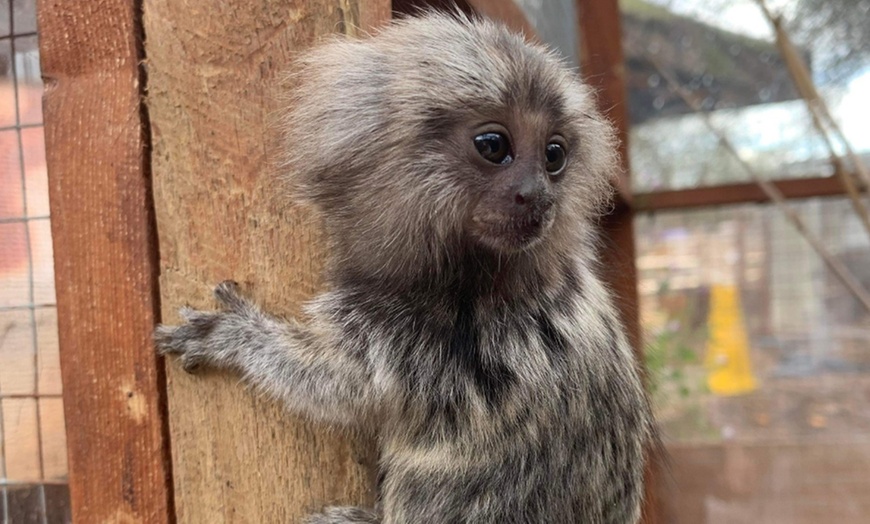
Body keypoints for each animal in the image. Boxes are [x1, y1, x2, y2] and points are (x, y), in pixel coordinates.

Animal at [155, 12, 656, 524]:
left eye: (554, 156)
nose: (537, 196)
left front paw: (237, 337)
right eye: (493, 145)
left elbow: (341, 381)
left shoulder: (431, 335)